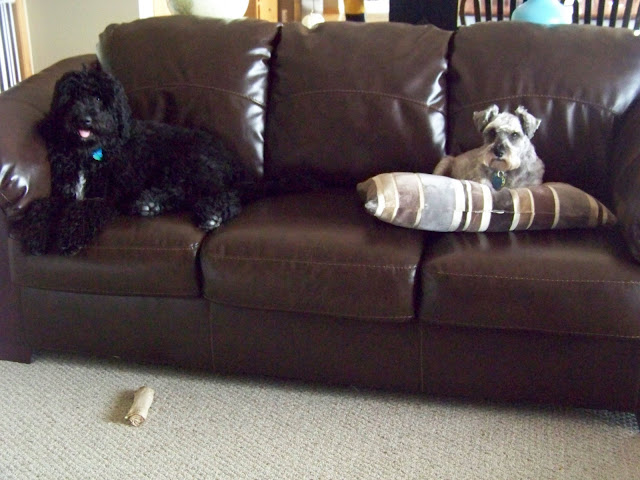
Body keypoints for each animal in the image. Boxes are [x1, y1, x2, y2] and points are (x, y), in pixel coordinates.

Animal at [16, 65, 243, 255]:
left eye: (98, 99)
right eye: (71, 98)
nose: (83, 119)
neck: (87, 154)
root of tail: (230, 158)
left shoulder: (105, 197)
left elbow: (83, 210)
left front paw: (68, 237)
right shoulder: (62, 192)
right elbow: (42, 204)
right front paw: (35, 233)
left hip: (189, 165)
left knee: (225, 195)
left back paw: (212, 214)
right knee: (181, 193)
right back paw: (149, 203)